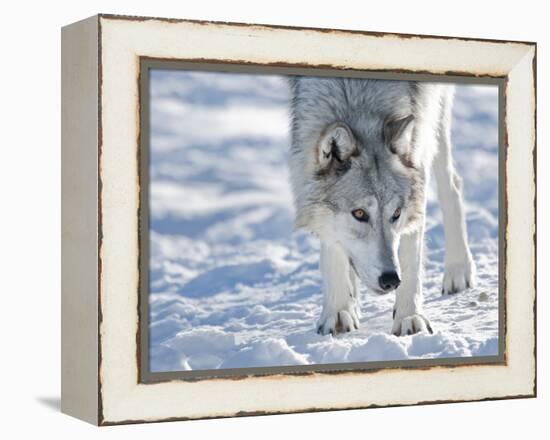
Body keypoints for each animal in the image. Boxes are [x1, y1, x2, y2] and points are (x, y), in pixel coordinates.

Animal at [288, 76, 478, 336]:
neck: (358, 96)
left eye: (396, 213)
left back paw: (458, 270)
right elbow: (332, 246)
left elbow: (411, 254)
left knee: (452, 185)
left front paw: (410, 318)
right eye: (359, 213)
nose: (390, 280)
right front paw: (338, 312)